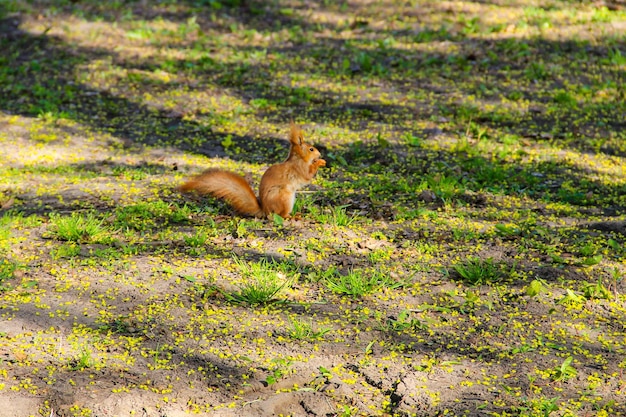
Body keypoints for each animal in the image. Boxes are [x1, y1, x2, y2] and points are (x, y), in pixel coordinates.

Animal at [178, 122, 324, 218]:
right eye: (311, 149)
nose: (320, 154)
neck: (298, 159)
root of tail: (265, 210)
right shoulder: (299, 168)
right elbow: (308, 175)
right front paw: (320, 162)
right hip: (283, 196)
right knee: (279, 215)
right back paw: (291, 216)